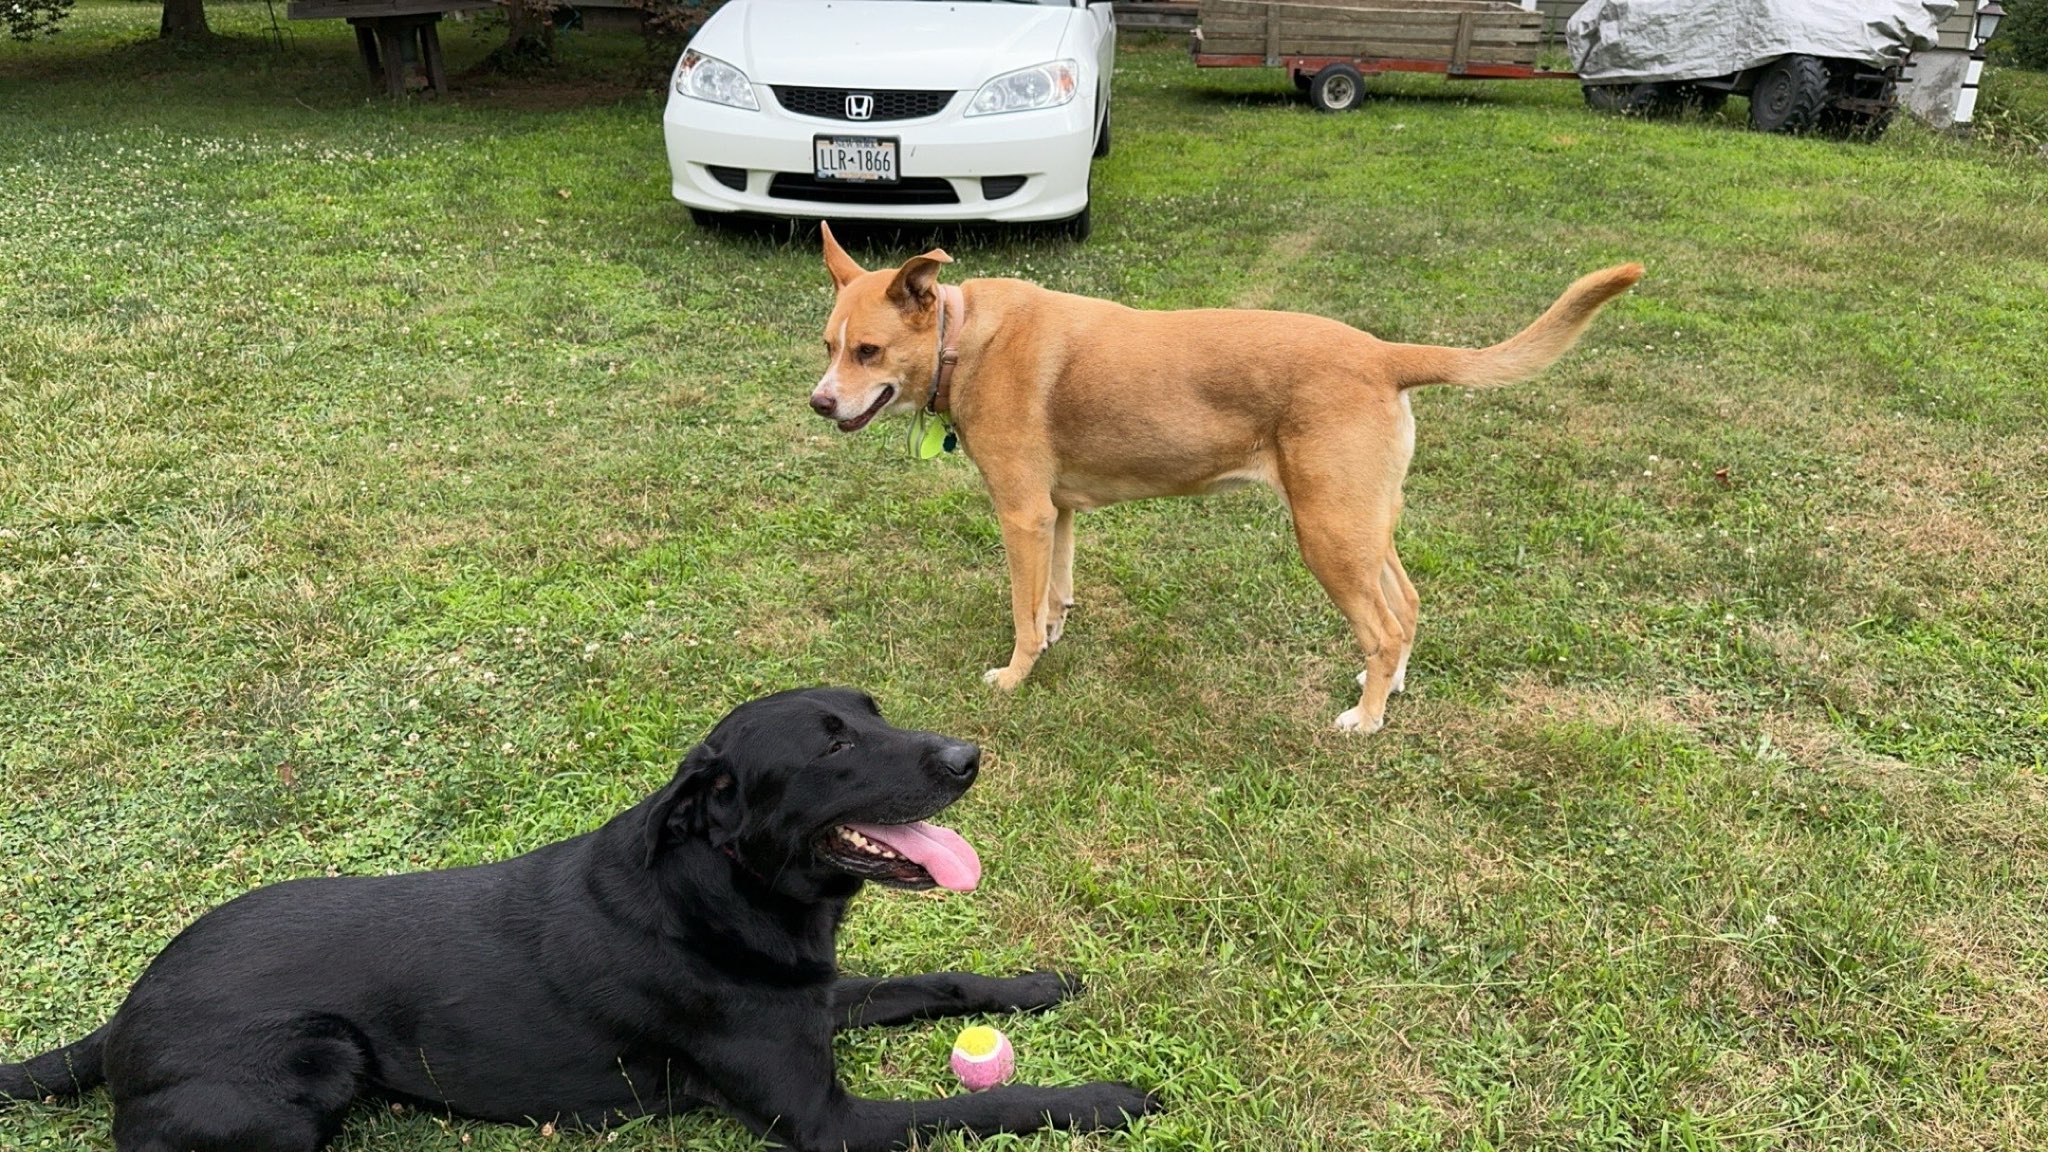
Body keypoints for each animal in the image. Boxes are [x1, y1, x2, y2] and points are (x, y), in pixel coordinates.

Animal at [0, 684, 1155, 1139]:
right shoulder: (830, 1124)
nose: (969, 756)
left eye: (871, 713)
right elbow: (990, 1104)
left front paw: (1033, 981)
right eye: (831, 747)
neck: (718, 892)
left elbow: (932, 979)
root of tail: (122, 1015)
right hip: (310, 1065)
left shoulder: (817, 998)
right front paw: (1107, 1096)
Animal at [806, 223, 1638, 725]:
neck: (963, 337)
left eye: (869, 352)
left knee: (1381, 625)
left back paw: (1366, 720)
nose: (819, 402)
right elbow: (1054, 597)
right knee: (1406, 608)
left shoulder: (1022, 515)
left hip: (1328, 537)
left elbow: (1021, 612)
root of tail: (1383, 353)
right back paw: (1392, 688)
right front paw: (1052, 639)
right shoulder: (1057, 512)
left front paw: (1015, 677)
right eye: (828, 345)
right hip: (1362, 526)